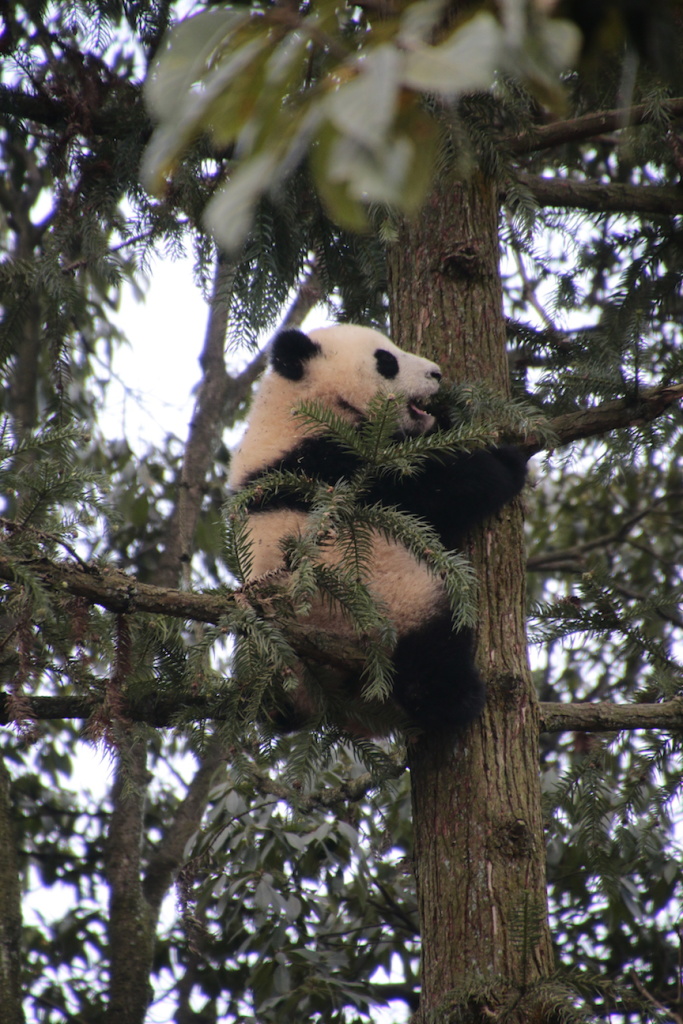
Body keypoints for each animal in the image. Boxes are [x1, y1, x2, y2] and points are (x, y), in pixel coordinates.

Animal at [227, 327, 528, 737]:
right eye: (387, 361)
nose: (436, 374)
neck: (296, 405)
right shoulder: (334, 465)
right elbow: (442, 489)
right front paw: (510, 462)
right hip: (378, 603)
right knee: (432, 644)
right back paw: (453, 699)